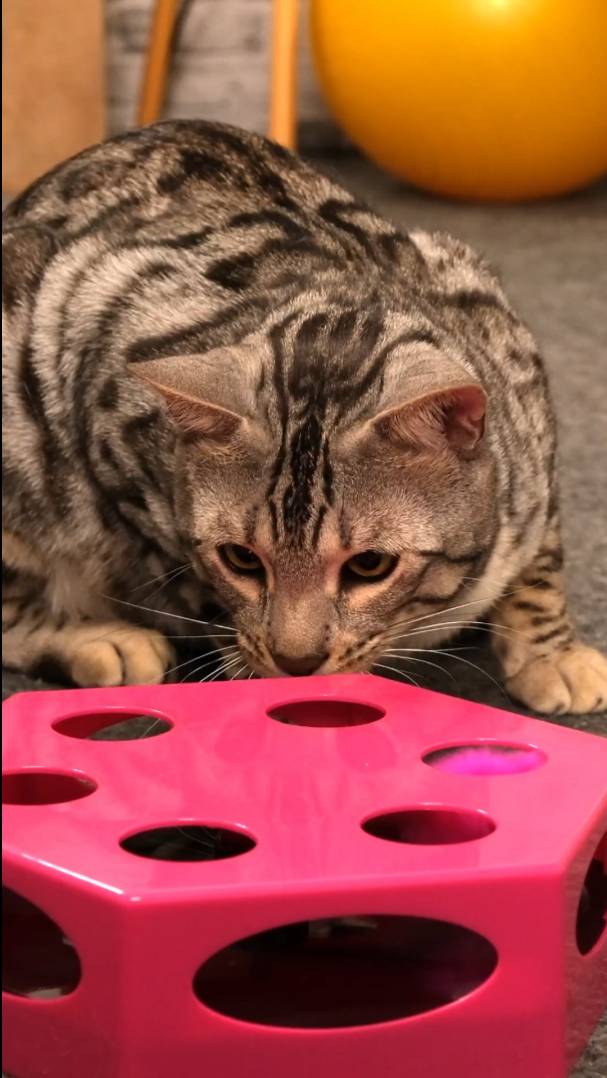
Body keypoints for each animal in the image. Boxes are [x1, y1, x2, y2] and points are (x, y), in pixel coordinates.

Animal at [3, 120, 606, 715]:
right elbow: (192, 586)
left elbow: (543, 558)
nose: (297, 660)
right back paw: (100, 638)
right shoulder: (107, 395)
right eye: (240, 559)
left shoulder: (520, 383)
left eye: (370, 565)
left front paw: (551, 652)